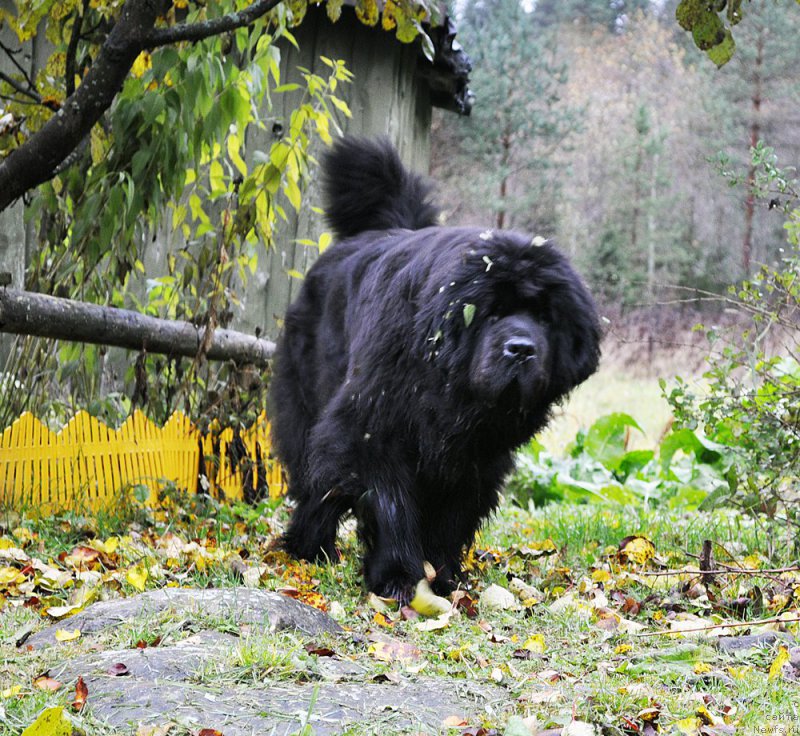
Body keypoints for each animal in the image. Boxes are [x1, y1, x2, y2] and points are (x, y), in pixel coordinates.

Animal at [270, 137, 600, 604]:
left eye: (544, 316)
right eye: (491, 312)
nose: (520, 349)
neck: (452, 389)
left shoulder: (477, 456)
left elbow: (451, 518)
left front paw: (443, 578)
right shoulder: (373, 430)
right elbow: (392, 504)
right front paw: (397, 576)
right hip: (308, 405)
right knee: (315, 486)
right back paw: (309, 550)